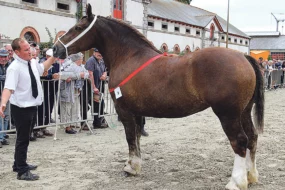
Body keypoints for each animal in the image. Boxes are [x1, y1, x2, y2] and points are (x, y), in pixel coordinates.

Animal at [52, 4, 262, 190]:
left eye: (78, 27)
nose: (55, 49)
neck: (130, 57)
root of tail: (243, 57)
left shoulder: (124, 110)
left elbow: (130, 136)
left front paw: (130, 167)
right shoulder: (137, 111)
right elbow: (137, 136)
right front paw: (135, 164)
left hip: (228, 114)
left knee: (239, 141)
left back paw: (236, 182)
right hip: (244, 112)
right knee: (252, 137)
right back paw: (251, 176)